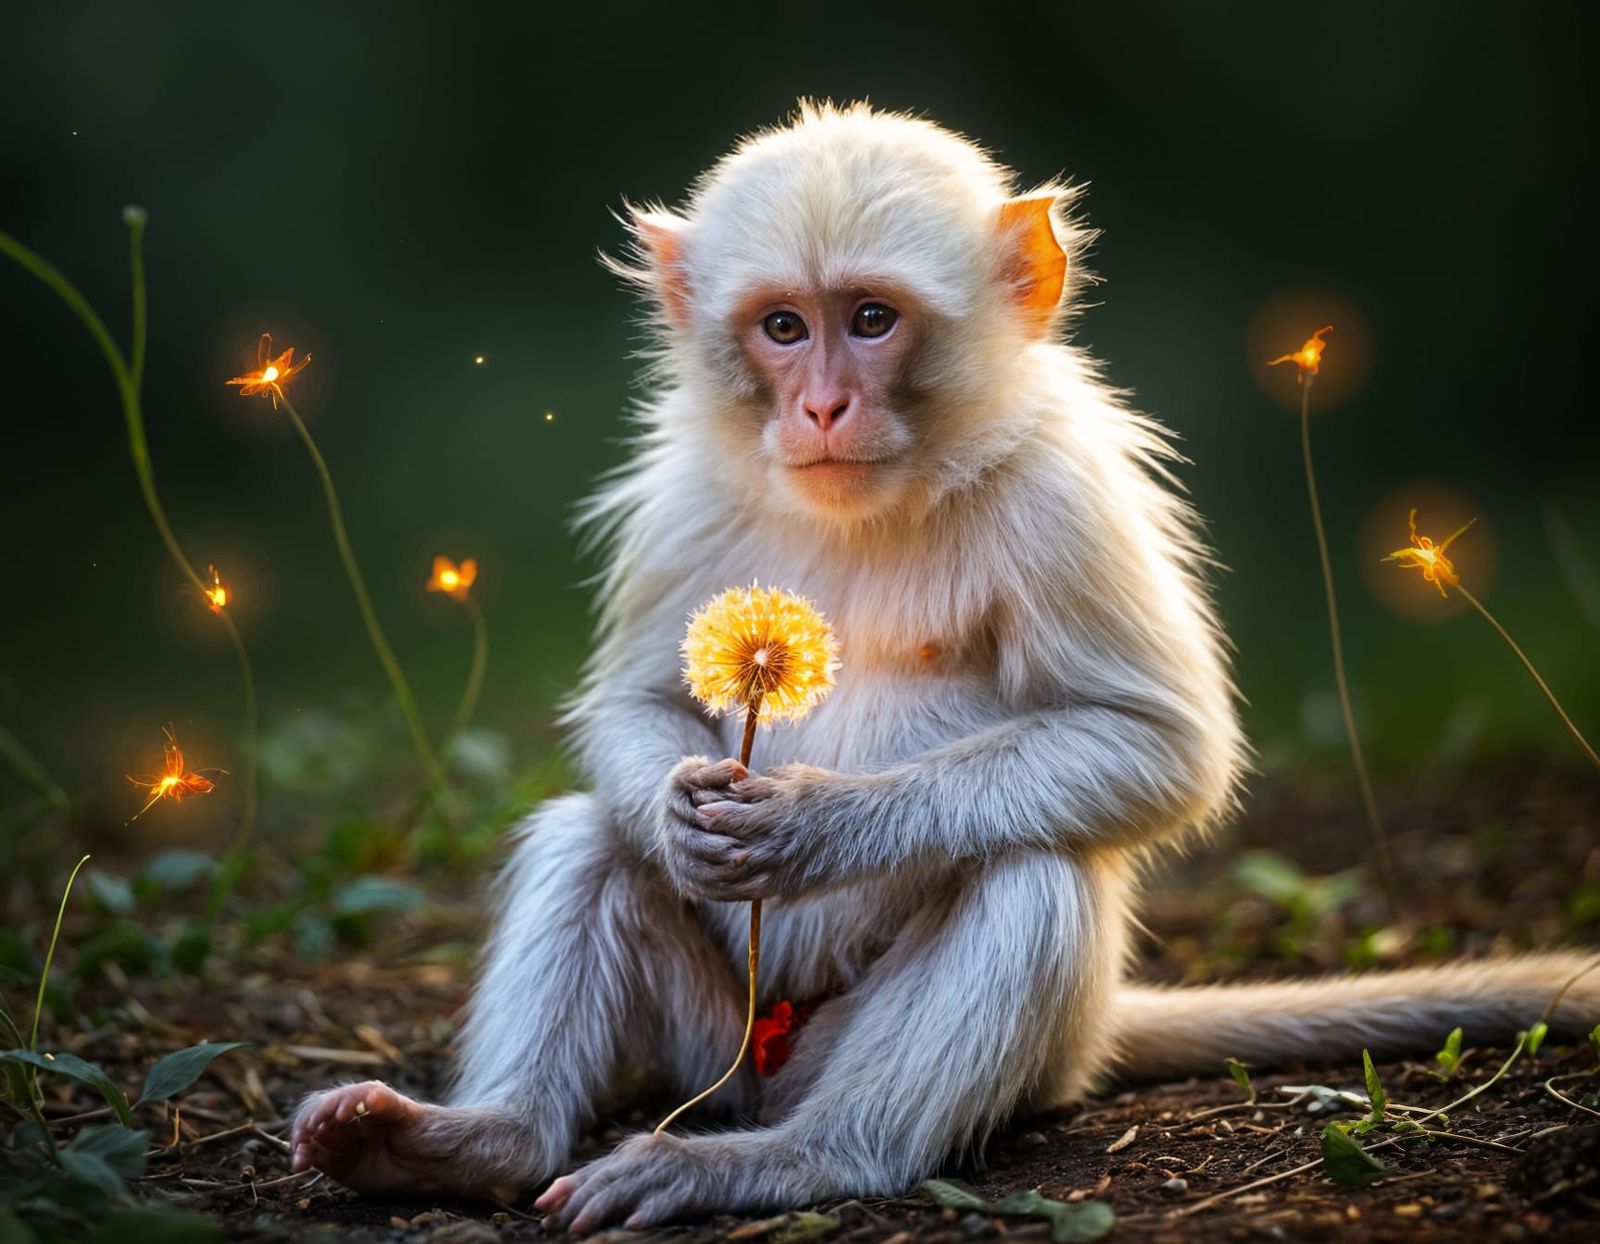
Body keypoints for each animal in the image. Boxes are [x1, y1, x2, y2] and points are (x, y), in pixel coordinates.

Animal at [289, 102, 1598, 1229]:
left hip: (965, 1057)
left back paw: (799, 1157)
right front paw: (679, 816)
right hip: (712, 1041)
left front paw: (816, 828)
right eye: (782, 326)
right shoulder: (680, 495)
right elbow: (642, 701)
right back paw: (479, 1140)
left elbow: (1158, 741)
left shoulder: (1067, 492)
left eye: (870, 319)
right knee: (587, 835)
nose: (820, 405)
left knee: (1028, 874)